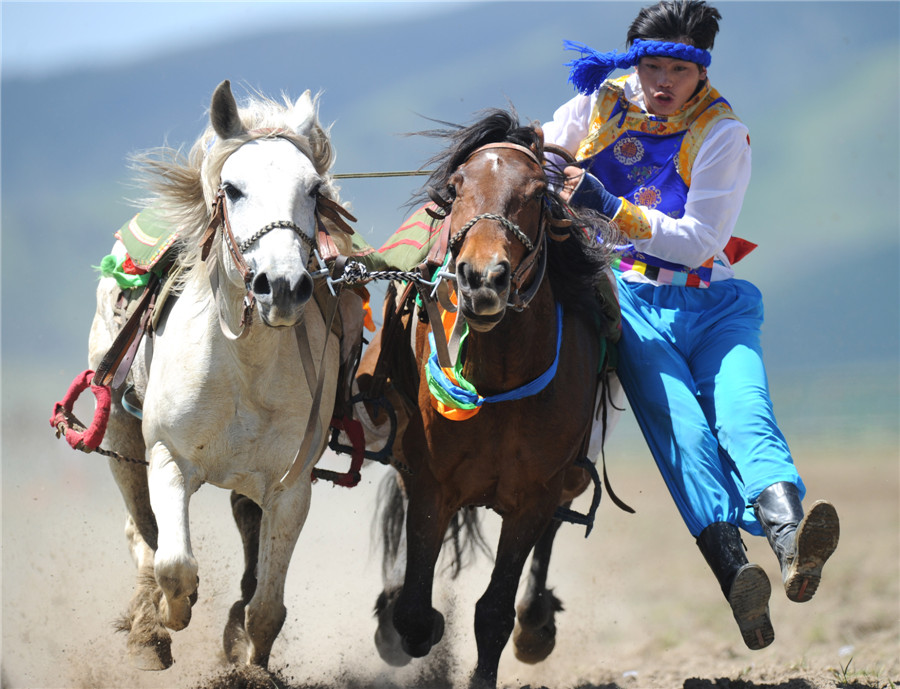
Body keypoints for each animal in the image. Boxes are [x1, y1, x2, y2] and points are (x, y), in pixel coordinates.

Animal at [87, 78, 362, 668]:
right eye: (233, 189)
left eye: (313, 190)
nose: (281, 287)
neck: (244, 369)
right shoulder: (168, 456)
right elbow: (173, 563)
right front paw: (172, 612)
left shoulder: (290, 486)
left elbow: (268, 607)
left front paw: (248, 664)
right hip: (121, 432)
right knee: (140, 531)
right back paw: (147, 631)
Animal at [356, 109, 620, 688]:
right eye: (455, 188)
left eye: (539, 192)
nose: (482, 279)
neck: (499, 378)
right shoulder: (431, 481)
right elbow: (414, 607)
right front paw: (410, 627)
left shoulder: (533, 496)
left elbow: (494, 612)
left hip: (567, 477)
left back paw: (536, 624)